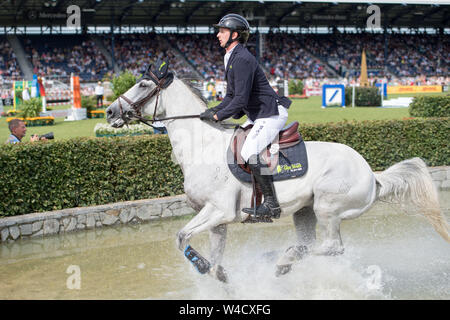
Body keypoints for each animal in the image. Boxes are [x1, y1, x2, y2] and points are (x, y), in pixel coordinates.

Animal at [104, 74, 446, 280]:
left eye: (143, 85)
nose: (109, 112)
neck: (201, 146)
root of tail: (372, 174)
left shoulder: (219, 211)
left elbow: (180, 236)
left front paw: (202, 266)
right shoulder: (217, 220)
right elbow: (212, 256)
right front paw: (219, 275)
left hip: (328, 207)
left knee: (331, 246)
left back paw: (282, 260)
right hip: (305, 211)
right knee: (310, 244)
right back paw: (287, 259)